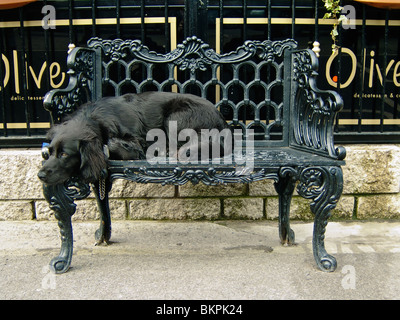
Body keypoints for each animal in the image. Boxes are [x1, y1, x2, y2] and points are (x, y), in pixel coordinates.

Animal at [39, 91, 231, 185]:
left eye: (64, 154)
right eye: (49, 151)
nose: (40, 175)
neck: (94, 117)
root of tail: (222, 119)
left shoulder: (136, 141)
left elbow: (113, 143)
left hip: (175, 115)